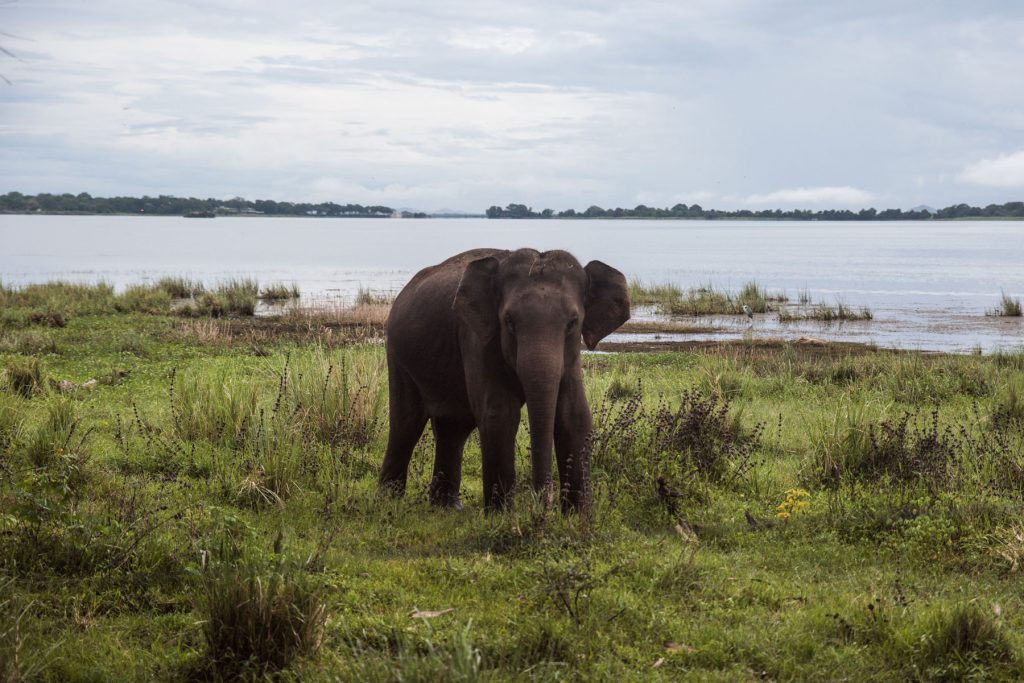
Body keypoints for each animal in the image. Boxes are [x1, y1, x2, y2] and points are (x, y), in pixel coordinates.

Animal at [378, 248, 626, 509]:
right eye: (509, 322)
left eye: (572, 323)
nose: (541, 504)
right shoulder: (477, 337)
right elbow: (500, 414)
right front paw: (502, 513)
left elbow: (574, 415)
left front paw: (579, 514)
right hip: (398, 354)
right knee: (406, 424)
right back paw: (388, 501)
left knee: (453, 427)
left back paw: (447, 507)